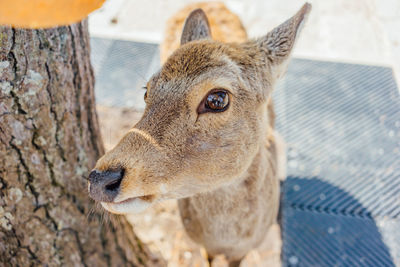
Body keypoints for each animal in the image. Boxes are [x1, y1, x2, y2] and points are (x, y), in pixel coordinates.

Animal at [88, 3, 312, 266]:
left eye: (217, 99)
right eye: (146, 92)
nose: (100, 179)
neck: (227, 239)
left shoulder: (244, 250)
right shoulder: (204, 245)